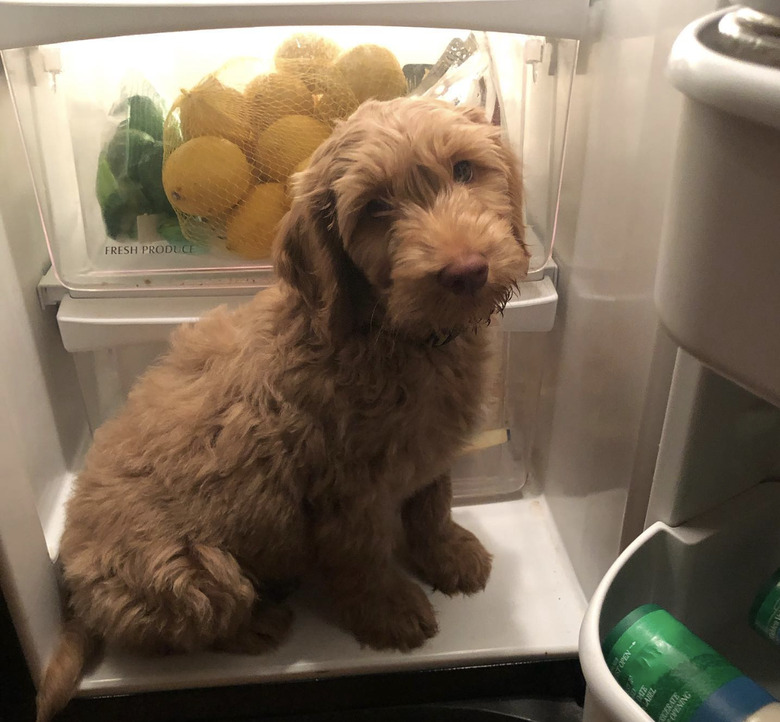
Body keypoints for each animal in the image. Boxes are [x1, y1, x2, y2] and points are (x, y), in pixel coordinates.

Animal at [39, 95, 532, 720]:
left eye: (465, 170)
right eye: (375, 207)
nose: (468, 271)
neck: (394, 335)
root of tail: (73, 590)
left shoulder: (428, 453)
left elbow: (432, 506)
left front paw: (449, 555)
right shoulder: (346, 489)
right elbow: (365, 556)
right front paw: (390, 611)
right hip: (196, 573)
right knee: (178, 630)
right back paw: (258, 624)